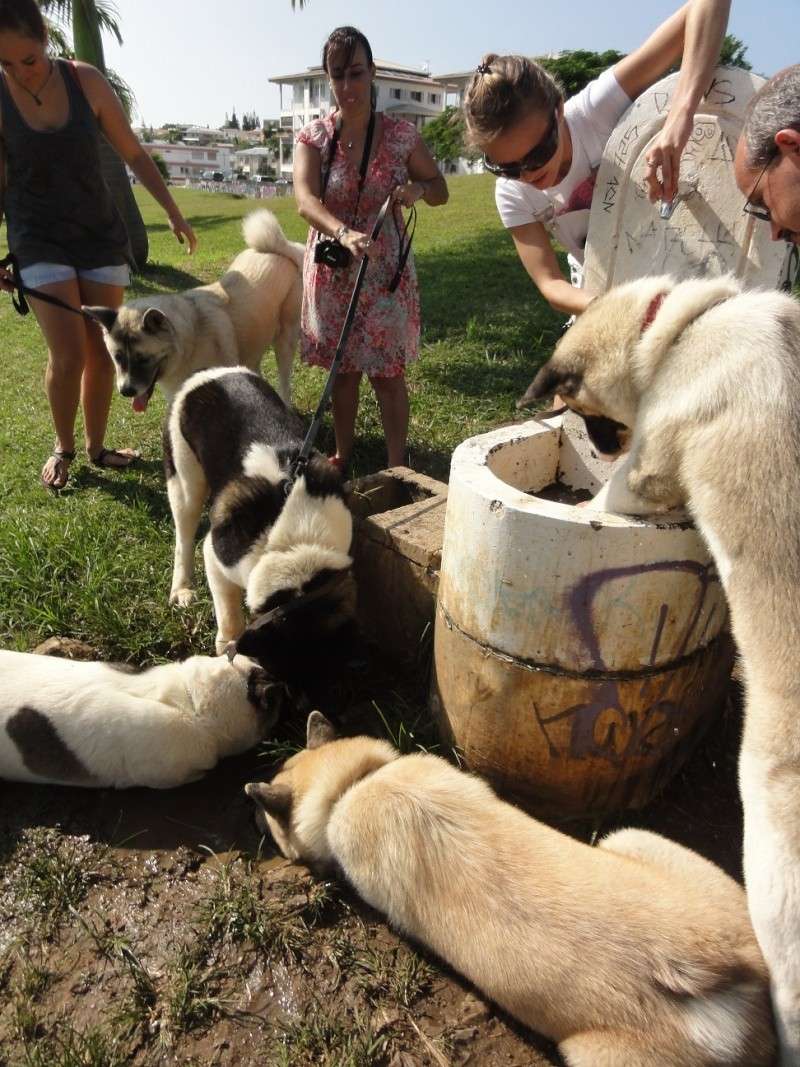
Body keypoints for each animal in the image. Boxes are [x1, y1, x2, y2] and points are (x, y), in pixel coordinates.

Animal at [163, 367, 356, 691]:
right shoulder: (217, 556)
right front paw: (226, 644)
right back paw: (182, 589)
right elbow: (229, 613)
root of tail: (207, 373)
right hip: (184, 478)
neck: (292, 544)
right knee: (184, 537)